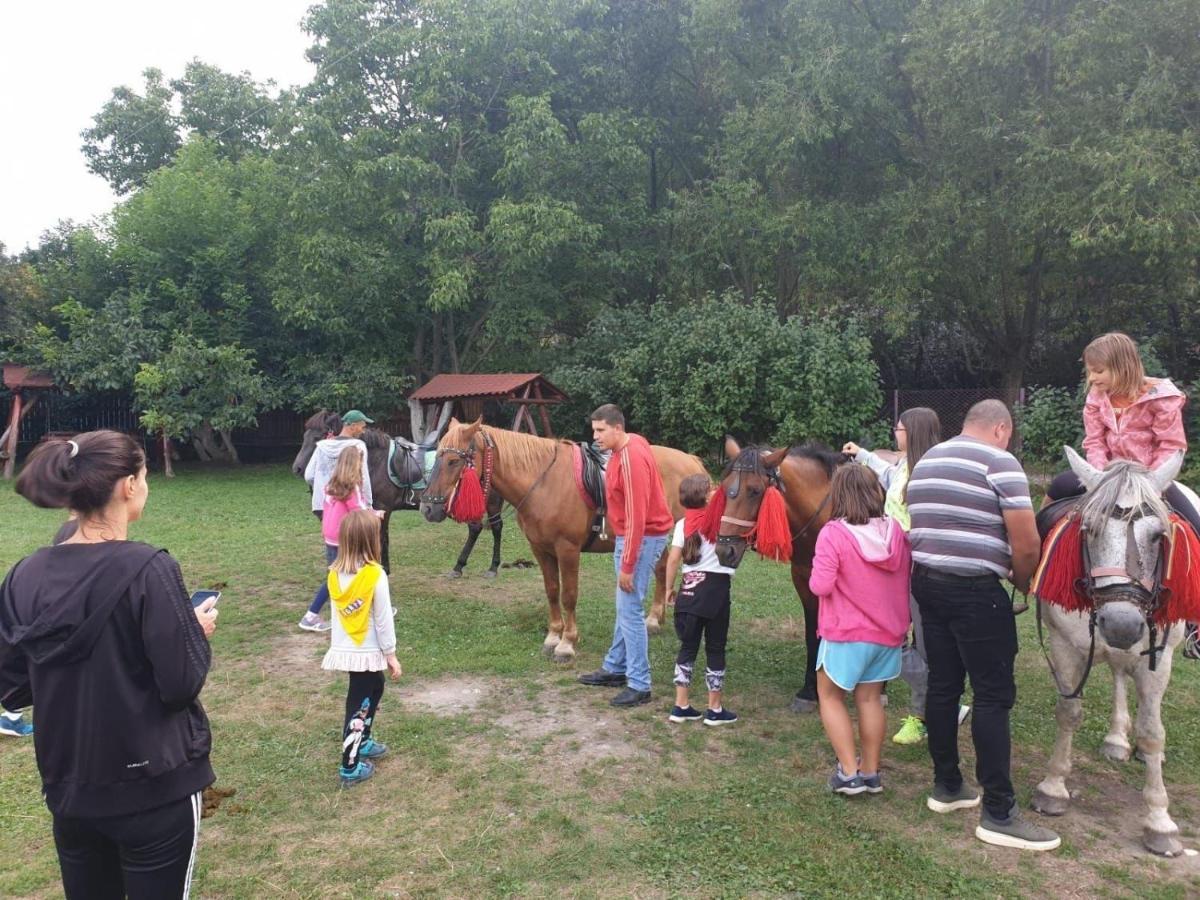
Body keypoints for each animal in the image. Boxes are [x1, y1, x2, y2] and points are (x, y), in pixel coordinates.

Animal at [292, 412, 504, 573]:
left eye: (317, 438)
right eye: (304, 436)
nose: (298, 468)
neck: (376, 460)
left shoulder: (383, 508)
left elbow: (382, 539)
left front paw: (383, 569)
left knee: (488, 527)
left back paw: (480, 566)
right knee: (484, 527)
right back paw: (472, 566)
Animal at [420, 422, 705, 662]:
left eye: (453, 461)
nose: (427, 508)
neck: (543, 482)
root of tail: (691, 460)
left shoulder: (568, 550)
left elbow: (568, 595)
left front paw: (567, 643)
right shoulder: (540, 549)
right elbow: (552, 590)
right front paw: (552, 636)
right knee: (662, 568)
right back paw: (654, 620)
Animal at [705, 436, 849, 710]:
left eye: (754, 490)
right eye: (726, 487)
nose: (724, 550)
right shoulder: (803, 580)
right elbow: (812, 633)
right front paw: (809, 690)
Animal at [1032, 448, 1190, 854]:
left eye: (1158, 536)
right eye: (1089, 529)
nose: (1121, 624)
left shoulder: (1158, 659)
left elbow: (1152, 732)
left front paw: (1160, 822)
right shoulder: (1065, 646)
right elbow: (1069, 713)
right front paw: (1053, 789)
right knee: (1119, 671)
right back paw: (1117, 738)